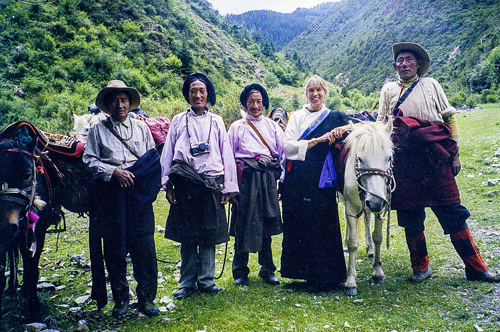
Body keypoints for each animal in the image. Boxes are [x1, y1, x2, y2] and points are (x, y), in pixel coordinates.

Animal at [344, 120, 394, 296]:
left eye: (389, 158)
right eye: (359, 159)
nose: (375, 202)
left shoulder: (380, 207)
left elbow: (378, 236)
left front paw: (377, 272)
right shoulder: (351, 208)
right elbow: (353, 243)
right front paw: (350, 282)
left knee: (367, 218)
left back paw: (370, 249)